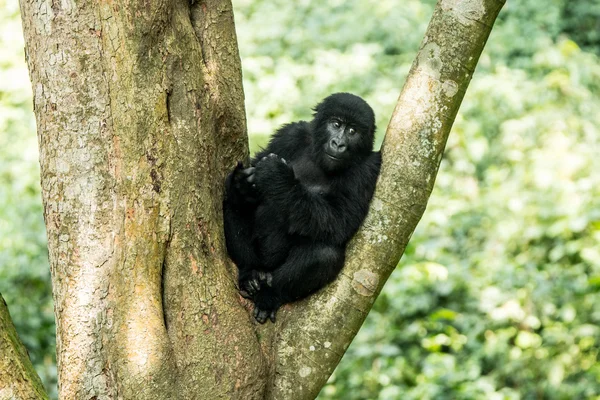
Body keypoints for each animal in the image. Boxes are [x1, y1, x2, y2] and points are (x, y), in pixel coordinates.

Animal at [223, 93, 382, 322]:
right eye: (336, 124)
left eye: (353, 131)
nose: (339, 143)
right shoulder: (290, 135)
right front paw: (241, 184)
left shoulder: (368, 167)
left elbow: (340, 220)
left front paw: (277, 176)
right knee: (232, 206)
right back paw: (249, 273)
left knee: (325, 254)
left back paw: (270, 295)